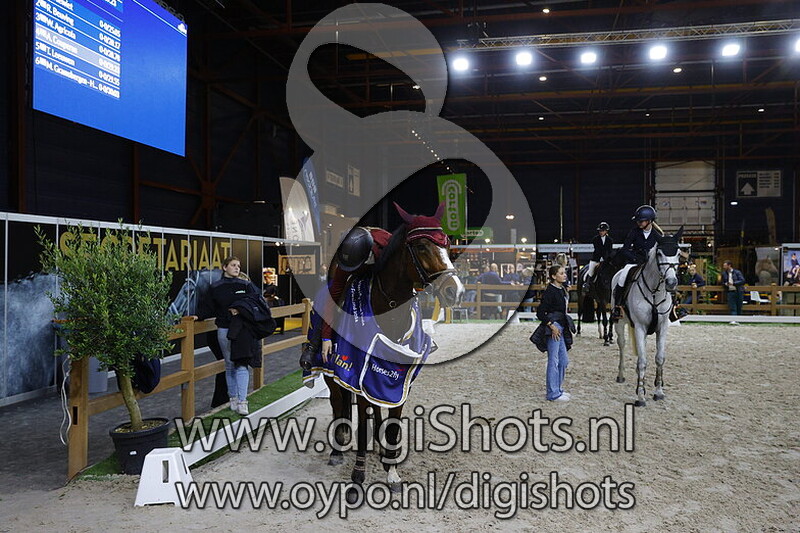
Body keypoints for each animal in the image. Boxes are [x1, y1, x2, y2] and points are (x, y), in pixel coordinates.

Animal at [310, 203, 463, 499]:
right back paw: (337, 450)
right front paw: (358, 476)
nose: (455, 291)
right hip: (330, 372)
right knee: (337, 403)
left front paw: (391, 470)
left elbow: (392, 425)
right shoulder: (357, 374)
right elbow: (358, 422)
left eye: (447, 244)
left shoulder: (400, 381)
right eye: (422, 246)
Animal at [611, 228, 683, 407]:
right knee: (622, 344)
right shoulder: (640, 327)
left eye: (678, 253)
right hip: (619, 322)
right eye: (659, 254)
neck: (655, 291)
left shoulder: (662, 327)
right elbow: (643, 361)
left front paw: (658, 391)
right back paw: (621, 375)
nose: (671, 282)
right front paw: (641, 397)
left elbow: (659, 358)